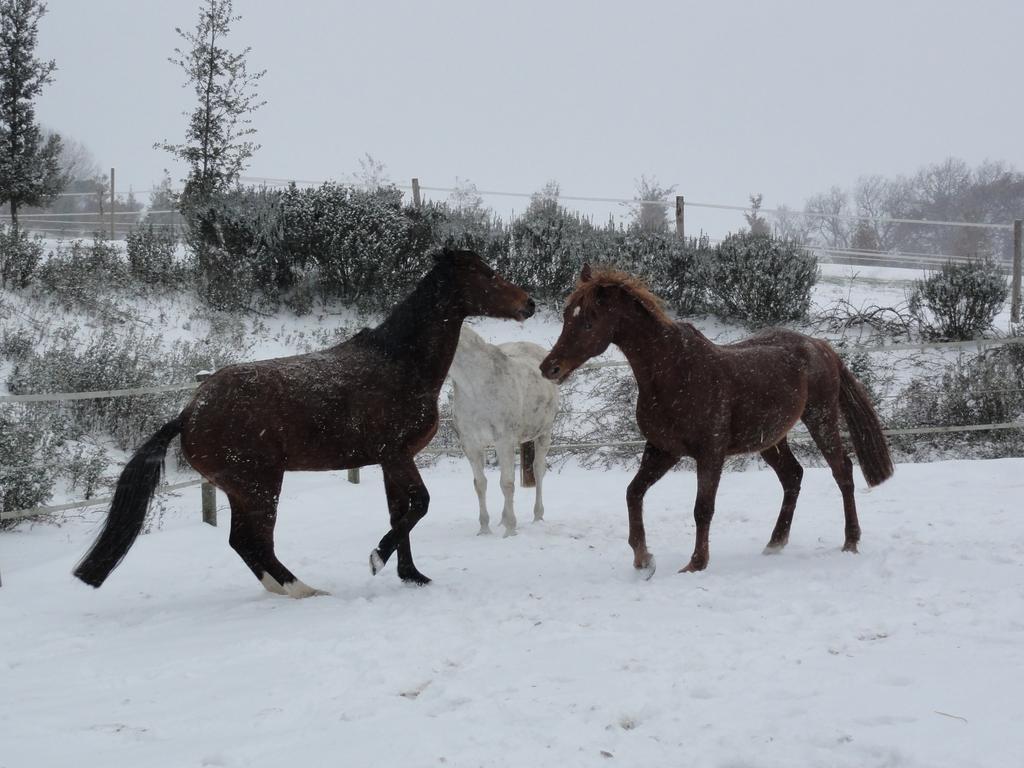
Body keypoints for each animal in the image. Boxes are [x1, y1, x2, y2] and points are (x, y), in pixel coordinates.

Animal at [74, 249, 536, 598]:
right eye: (487, 274)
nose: (529, 304)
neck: (399, 362)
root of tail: (189, 414)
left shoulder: (391, 461)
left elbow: (399, 512)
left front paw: (412, 575)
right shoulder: (395, 455)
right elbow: (418, 505)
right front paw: (376, 559)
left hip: (245, 489)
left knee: (246, 544)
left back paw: (287, 588)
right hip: (259, 485)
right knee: (252, 542)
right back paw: (304, 590)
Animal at [448, 327, 561, 536]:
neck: (476, 386)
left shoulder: (505, 441)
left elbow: (507, 484)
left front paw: (510, 531)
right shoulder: (471, 445)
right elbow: (480, 484)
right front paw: (484, 530)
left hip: (544, 434)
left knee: (538, 470)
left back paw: (537, 517)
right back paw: (501, 520)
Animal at [540, 266, 892, 577]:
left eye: (588, 322)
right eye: (566, 315)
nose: (550, 368)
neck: (674, 372)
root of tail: (820, 345)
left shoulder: (709, 454)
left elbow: (702, 508)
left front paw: (695, 563)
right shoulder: (662, 449)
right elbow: (633, 493)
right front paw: (643, 559)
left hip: (821, 419)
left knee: (842, 471)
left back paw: (850, 541)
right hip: (770, 438)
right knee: (793, 476)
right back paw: (774, 544)